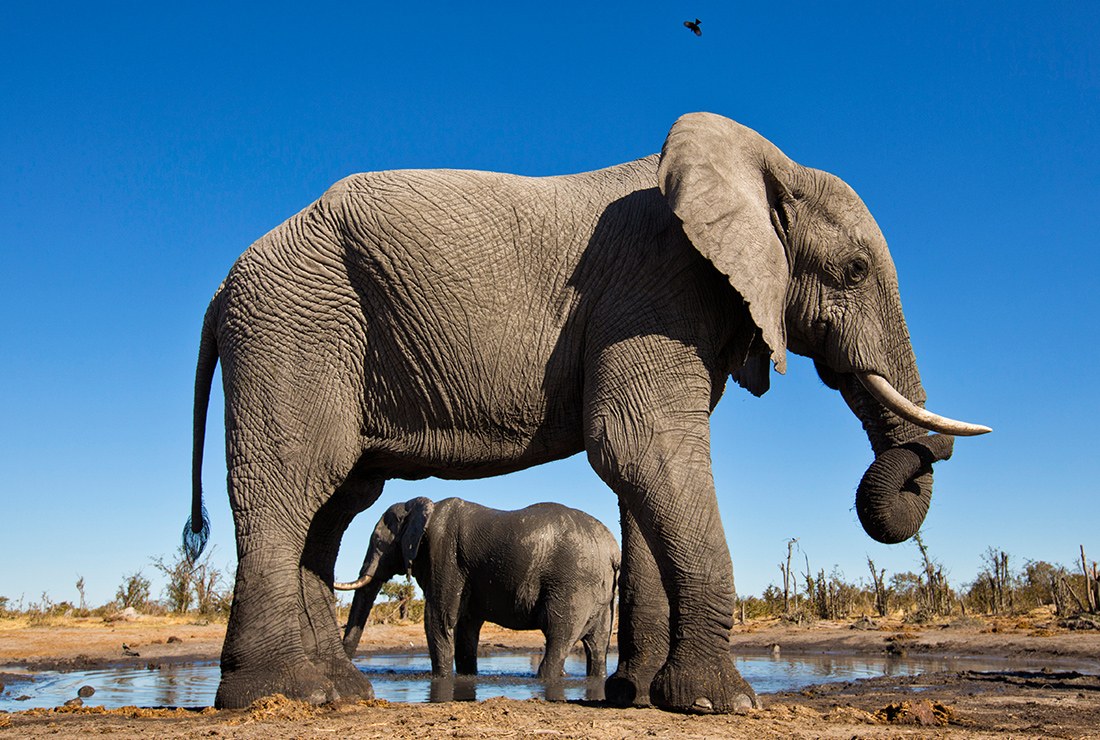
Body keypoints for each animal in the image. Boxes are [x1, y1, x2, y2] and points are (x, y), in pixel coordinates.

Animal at [332, 496, 621, 680]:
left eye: (379, 541)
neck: (421, 505)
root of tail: (612, 551)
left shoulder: (444, 553)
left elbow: (439, 618)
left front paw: (441, 678)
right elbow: (466, 626)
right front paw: (466, 676)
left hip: (573, 584)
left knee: (558, 636)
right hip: (601, 593)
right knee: (597, 645)